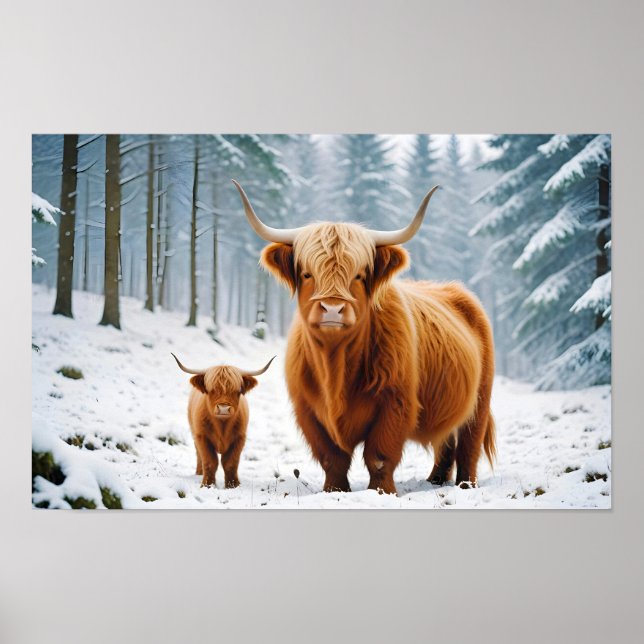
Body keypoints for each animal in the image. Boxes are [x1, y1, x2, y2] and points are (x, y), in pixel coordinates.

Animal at [172, 353, 275, 488]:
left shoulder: (239, 438)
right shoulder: (202, 437)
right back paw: (199, 473)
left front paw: (233, 485)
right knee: (198, 454)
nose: (224, 409)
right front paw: (207, 485)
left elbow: (230, 463)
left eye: (237, 390)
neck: (222, 426)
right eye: (211, 390)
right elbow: (210, 462)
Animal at [233, 180, 496, 495]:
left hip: (480, 399)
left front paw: (383, 492)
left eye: (359, 275)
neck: (335, 366)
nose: (332, 308)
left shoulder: (396, 403)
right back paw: (434, 480)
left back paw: (465, 485)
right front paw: (334, 491)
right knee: (445, 441)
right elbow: (332, 457)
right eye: (307, 274)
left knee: (469, 443)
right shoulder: (308, 411)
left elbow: (379, 456)